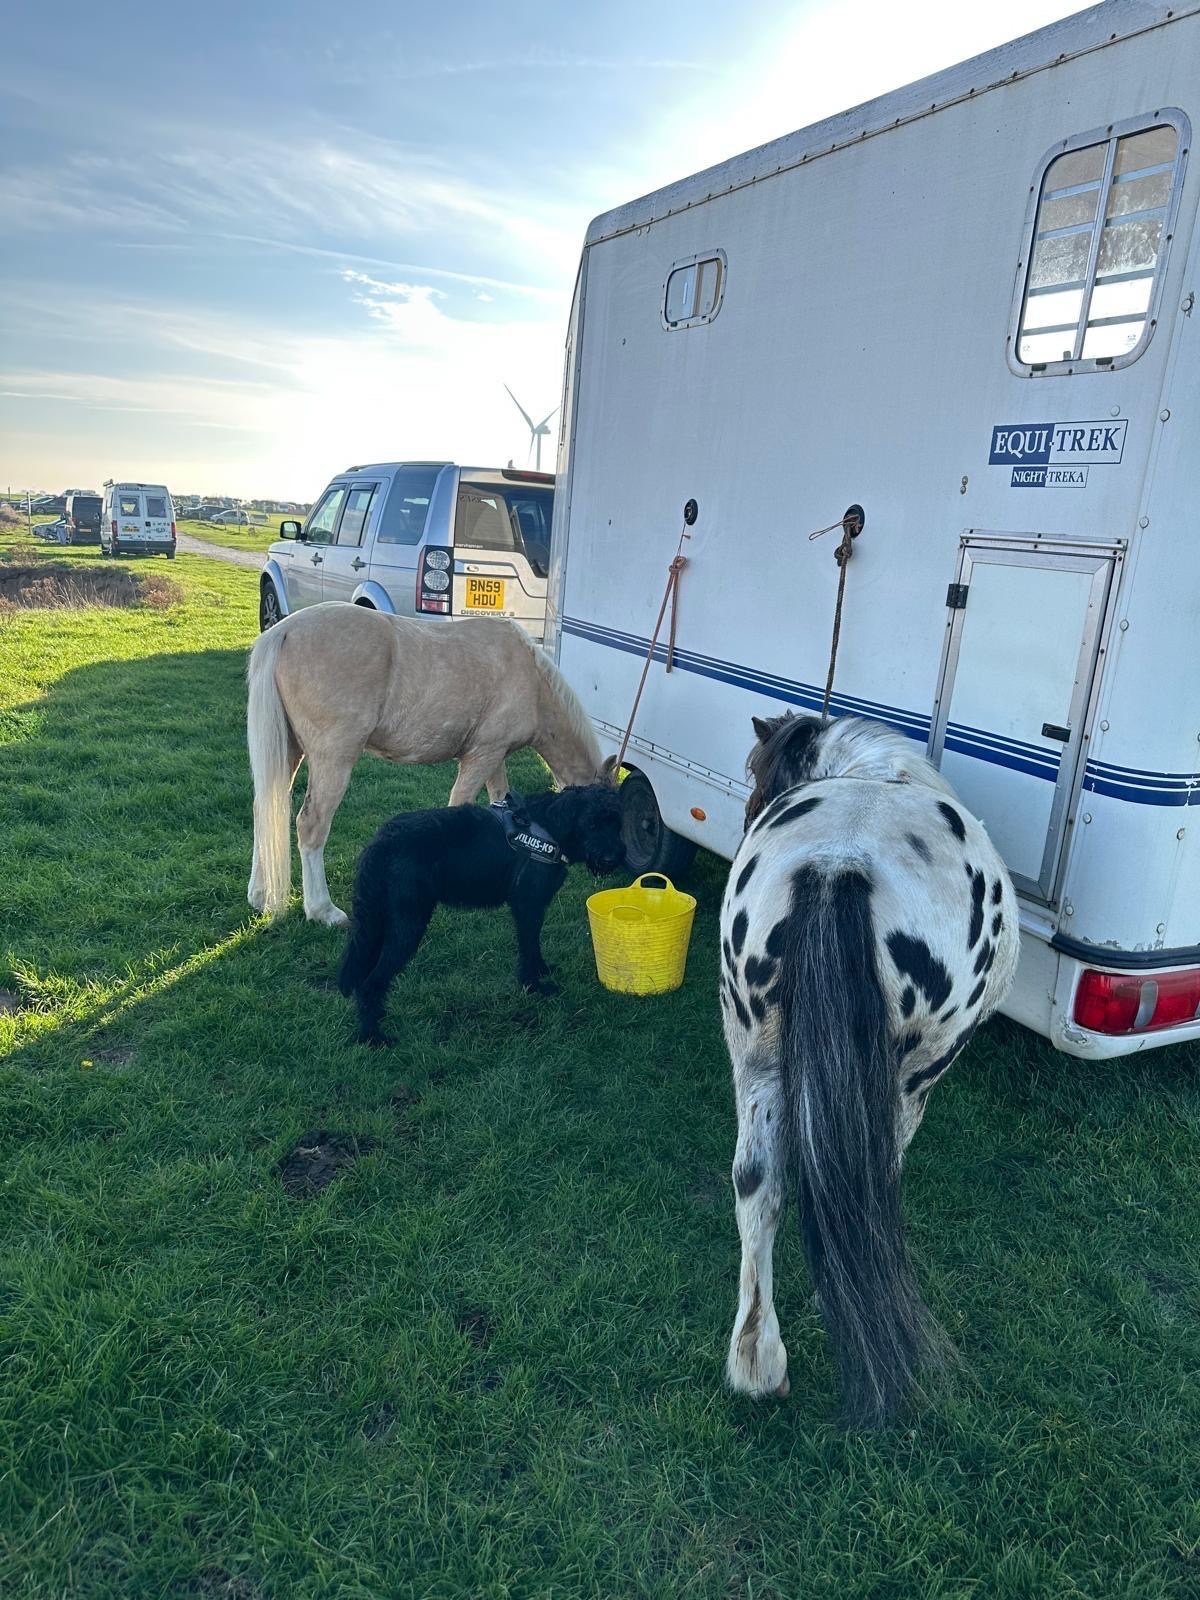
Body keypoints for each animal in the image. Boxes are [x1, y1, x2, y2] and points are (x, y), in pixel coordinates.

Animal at [246, 602, 608, 925]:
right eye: (607, 819)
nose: (605, 867)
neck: (532, 680)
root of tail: (283, 631)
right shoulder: (482, 756)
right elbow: (462, 804)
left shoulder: (495, 757)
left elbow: (502, 804)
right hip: (333, 760)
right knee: (311, 824)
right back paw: (323, 911)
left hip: (289, 750)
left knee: (266, 807)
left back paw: (260, 895)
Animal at [720, 711, 1019, 1427]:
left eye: (757, 777)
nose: (744, 818)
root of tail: (839, 864)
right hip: (910, 1082)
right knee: (868, 1185)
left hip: (752, 1051)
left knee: (756, 1180)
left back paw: (757, 1363)